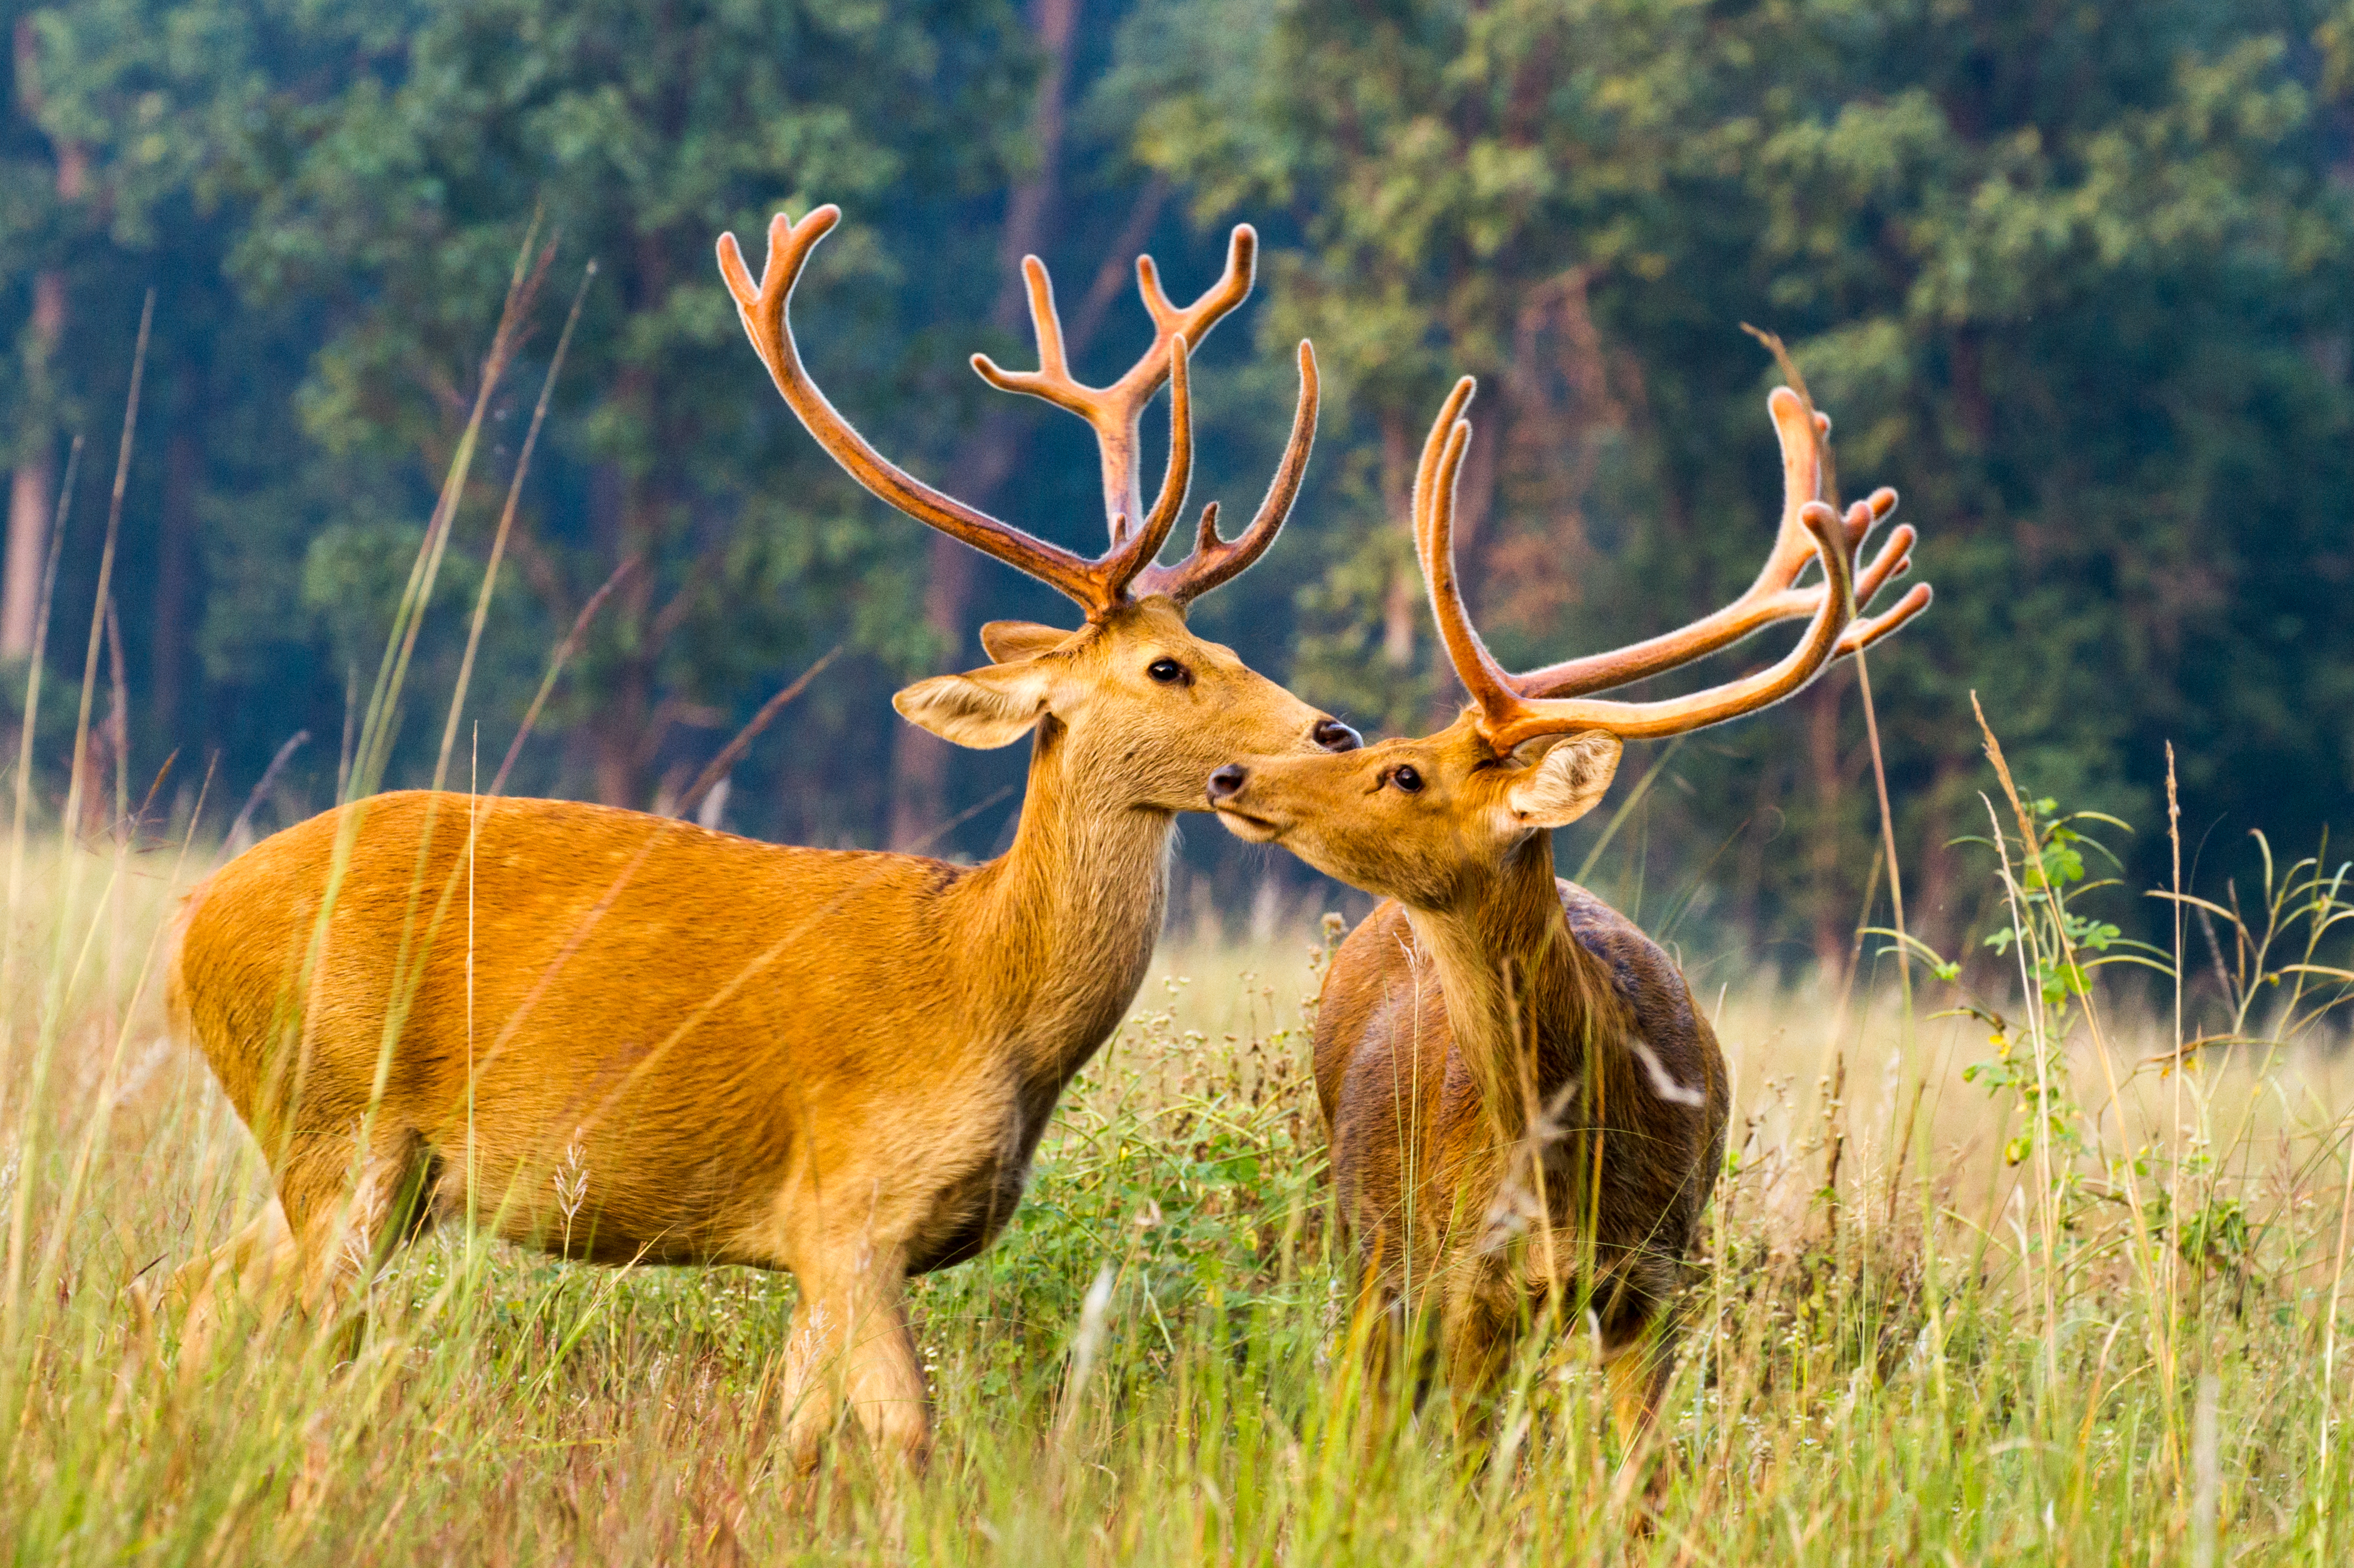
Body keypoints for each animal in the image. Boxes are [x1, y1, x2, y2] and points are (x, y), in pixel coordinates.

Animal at [152, 204, 1365, 1469]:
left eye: (1223, 645)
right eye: (1168, 667)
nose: (1335, 733)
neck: (986, 984)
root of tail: (192, 927)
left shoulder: (816, 1250)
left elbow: (796, 1438)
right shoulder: (848, 1207)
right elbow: (905, 1434)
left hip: (347, 1160)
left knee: (189, 1289)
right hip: (337, 1122)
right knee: (281, 1324)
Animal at [1205, 372, 1921, 1431]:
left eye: (1404, 772)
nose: (1230, 773)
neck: (1565, 1182)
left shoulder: (1655, 1279)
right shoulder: (1468, 1283)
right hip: (1370, 1238)